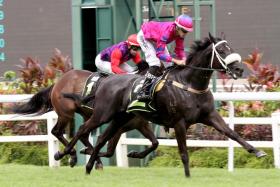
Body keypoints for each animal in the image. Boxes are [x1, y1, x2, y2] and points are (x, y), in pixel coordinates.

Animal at [13, 62, 159, 167]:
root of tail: (57, 82)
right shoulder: (117, 126)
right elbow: (108, 149)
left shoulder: (140, 125)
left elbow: (154, 143)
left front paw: (134, 154)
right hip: (66, 113)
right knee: (59, 131)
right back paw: (69, 154)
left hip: (86, 115)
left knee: (82, 134)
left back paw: (85, 158)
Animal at [60, 32, 266, 177]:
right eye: (222, 51)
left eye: (230, 48)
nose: (238, 69)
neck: (190, 84)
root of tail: (106, 81)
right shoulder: (179, 122)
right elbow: (183, 152)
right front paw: (188, 176)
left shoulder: (210, 116)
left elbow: (232, 133)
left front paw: (257, 152)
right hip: (103, 114)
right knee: (83, 130)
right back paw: (66, 154)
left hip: (120, 118)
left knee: (101, 139)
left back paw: (88, 167)